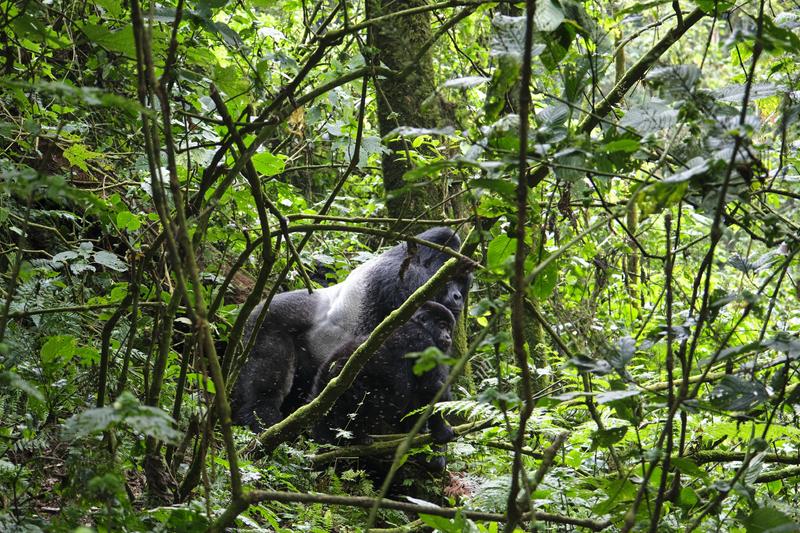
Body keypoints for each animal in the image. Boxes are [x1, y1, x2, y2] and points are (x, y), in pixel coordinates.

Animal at [308, 300, 454, 444]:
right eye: (442, 326)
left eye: (448, 329)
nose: (448, 337)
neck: (421, 326)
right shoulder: (422, 340)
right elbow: (431, 387)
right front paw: (441, 430)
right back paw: (358, 437)